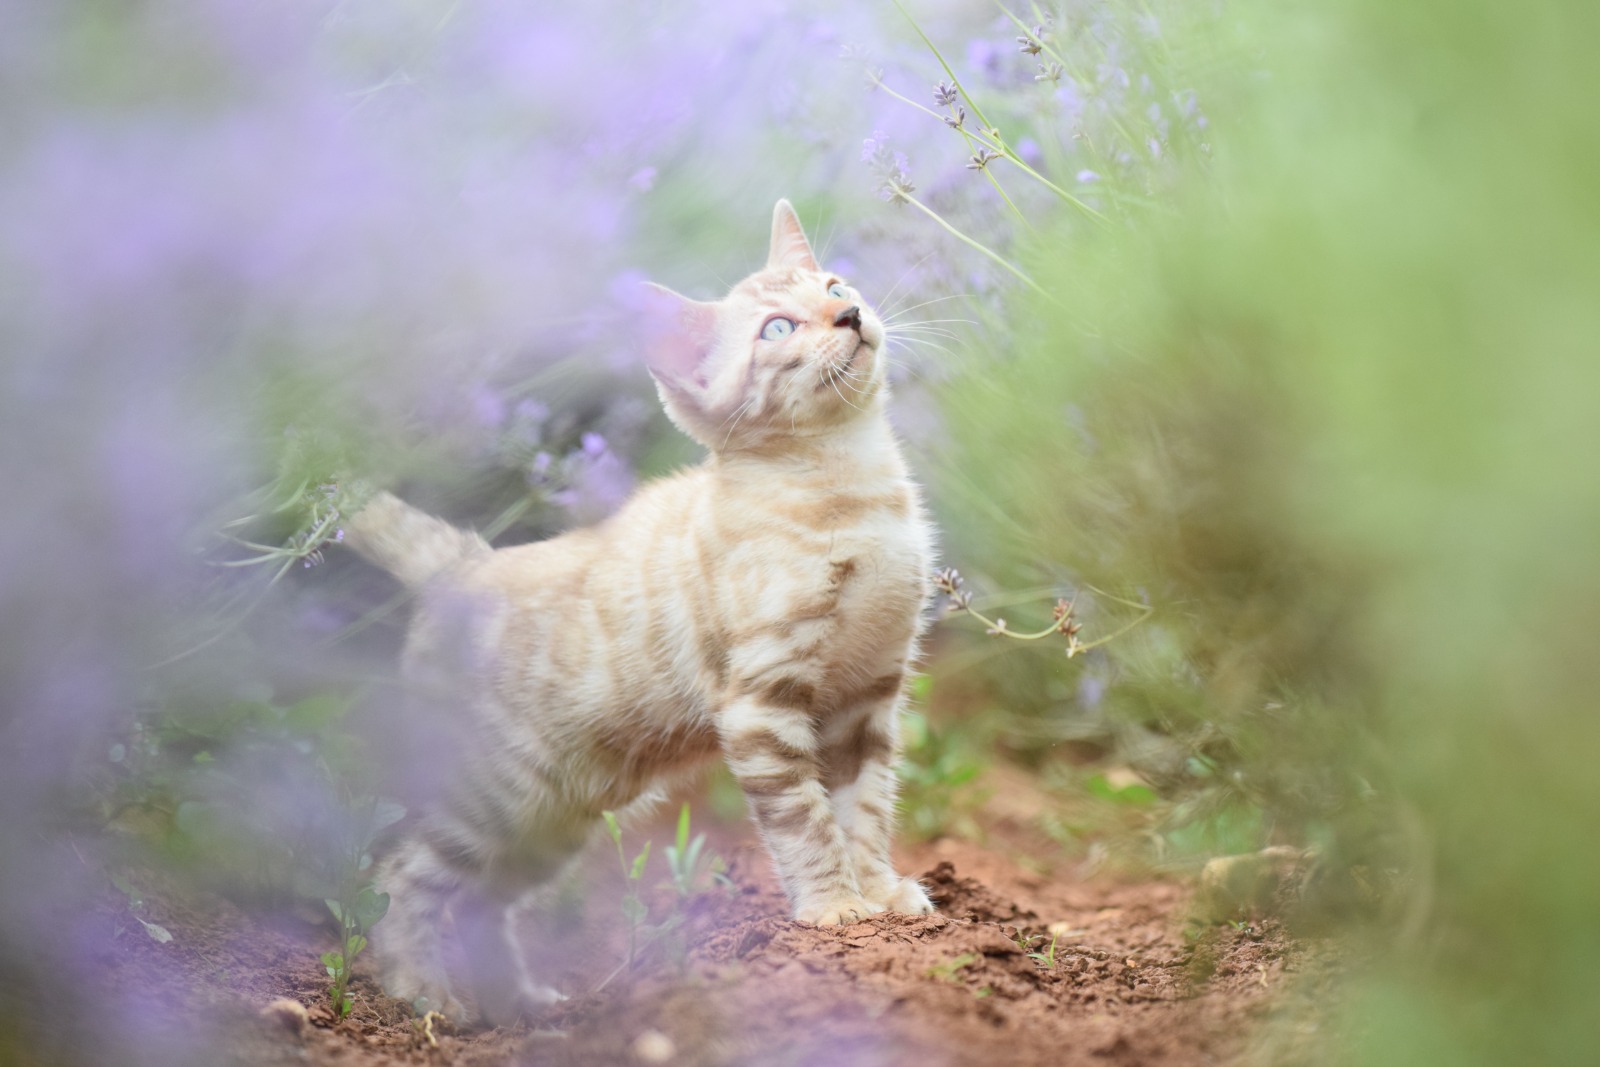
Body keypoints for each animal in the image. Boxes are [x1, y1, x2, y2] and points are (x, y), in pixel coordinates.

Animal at [344, 199, 934, 1023]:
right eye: (777, 329)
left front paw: (879, 893)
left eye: (835, 284)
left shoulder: (869, 695)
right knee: (405, 877)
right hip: (489, 797)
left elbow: (867, 807)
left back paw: (524, 1002)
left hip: (553, 824)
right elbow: (807, 820)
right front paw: (833, 907)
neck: (851, 488)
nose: (850, 313)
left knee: (487, 902)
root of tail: (463, 562)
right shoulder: (761, 702)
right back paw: (422, 992)